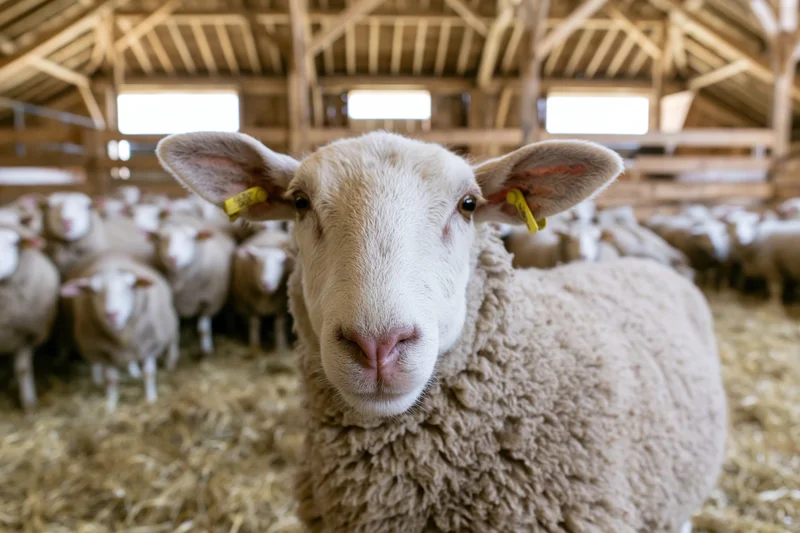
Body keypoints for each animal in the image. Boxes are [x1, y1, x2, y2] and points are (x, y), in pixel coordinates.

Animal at [60, 254, 179, 411]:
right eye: (94, 291)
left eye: (129, 286)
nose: (112, 314)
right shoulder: (105, 354)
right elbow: (112, 380)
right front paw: (111, 405)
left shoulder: (149, 346)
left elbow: (149, 374)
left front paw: (151, 399)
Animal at [147, 218, 235, 356]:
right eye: (162, 238)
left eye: (190, 238)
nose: (172, 258)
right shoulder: (173, 305)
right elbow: (175, 329)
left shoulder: (210, 301)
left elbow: (203, 329)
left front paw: (206, 350)